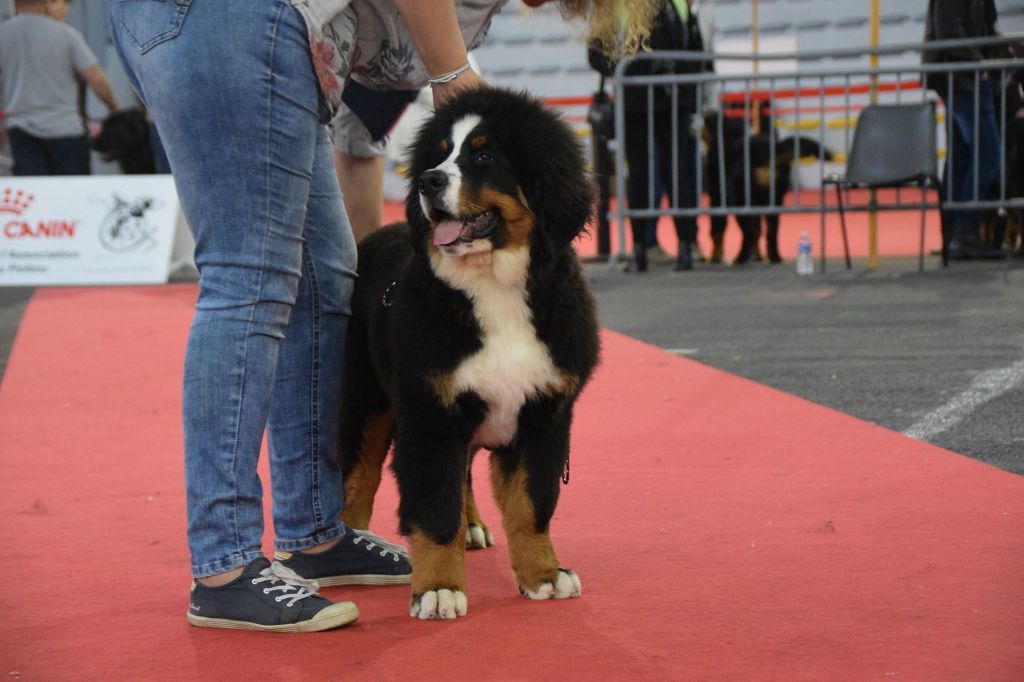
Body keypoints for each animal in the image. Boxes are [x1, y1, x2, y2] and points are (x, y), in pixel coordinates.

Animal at [339, 86, 602, 614]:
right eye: (439, 154)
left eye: (483, 156)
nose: (428, 180)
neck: (493, 287)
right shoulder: (430, 414)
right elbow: (435, 506)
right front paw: (439, 588)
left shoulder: (543, 414)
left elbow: (531, 505)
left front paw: (544, 574)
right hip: (366, 400)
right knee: (359, 476)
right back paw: (354, 542)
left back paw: (474, 527)